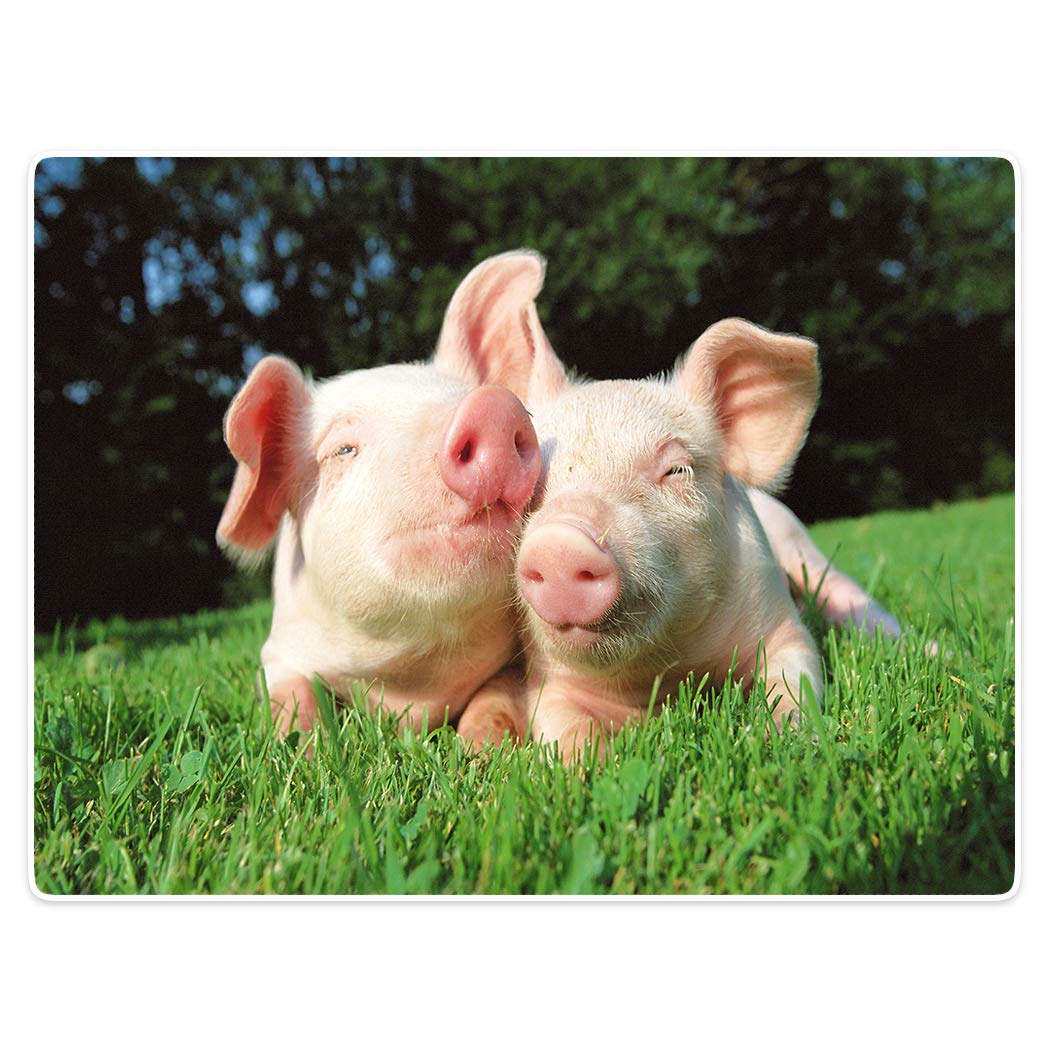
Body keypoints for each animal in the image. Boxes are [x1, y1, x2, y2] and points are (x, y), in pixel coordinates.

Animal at [215, 251, 547, 738]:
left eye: (469, 396)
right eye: (343, 450)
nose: (492, 407)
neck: (411, 684)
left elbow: (494, 698)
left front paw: (484, 749)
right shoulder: (276, 652)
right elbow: (292, 697)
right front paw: (303, 745)